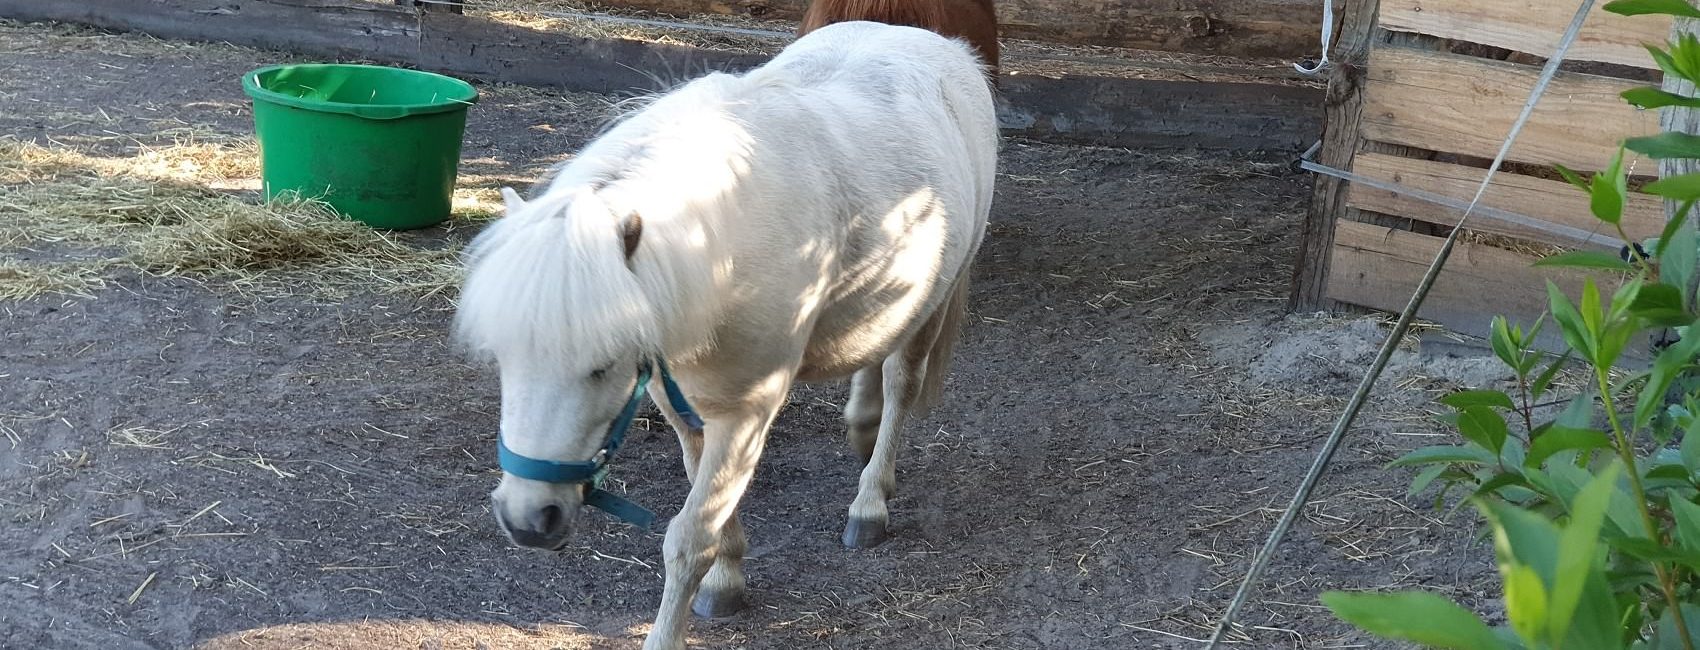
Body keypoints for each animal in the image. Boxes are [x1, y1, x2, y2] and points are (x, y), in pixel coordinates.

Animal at [459, 20, 992, 650]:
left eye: (604, 363)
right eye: (504, 359)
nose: (527, 518)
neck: (722, 253)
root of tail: (942, 45)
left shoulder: (745, 413)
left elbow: (689, 538)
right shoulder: (687, 407)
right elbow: (712, 513)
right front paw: (728, 577)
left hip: (937, 300)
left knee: (901, 385)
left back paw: (870, 499)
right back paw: (861, 426)